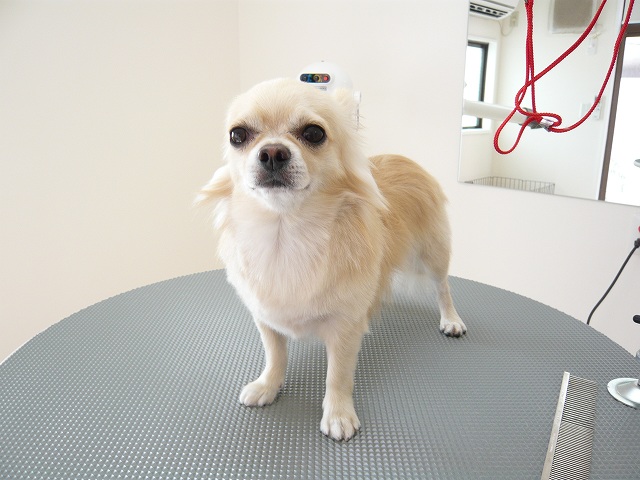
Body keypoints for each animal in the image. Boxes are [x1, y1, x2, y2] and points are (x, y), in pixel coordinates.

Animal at [197, 78, 466, 441]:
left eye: (314, 133)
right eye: (237, 135)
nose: (272, 152)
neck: (285, 233)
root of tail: (404, 158)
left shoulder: (345, 328)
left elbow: (337, 375)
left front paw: (338, 414)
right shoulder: (265, 318)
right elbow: (275, 355)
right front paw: (268, 385)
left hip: (430, 254)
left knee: (443, 287)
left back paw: (450, 319)